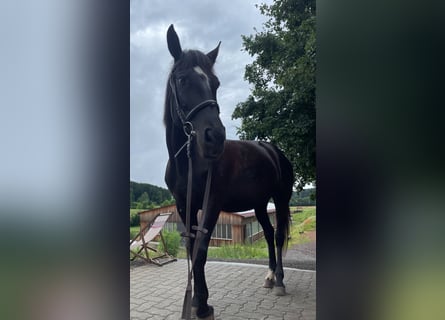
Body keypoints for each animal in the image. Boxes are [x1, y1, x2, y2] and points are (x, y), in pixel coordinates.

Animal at [165, 25, 294, 320]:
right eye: (182, 80)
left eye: (216, 83)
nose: (215, 137)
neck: (190, 163)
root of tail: (274, 151)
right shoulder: (184, 205)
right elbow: (191, 248)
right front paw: (196, 301)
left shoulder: (212, 203)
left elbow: (201, 250)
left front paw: (202, 305)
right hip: (259, 204)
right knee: (268, 233)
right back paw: (270, 276)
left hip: (281, 199)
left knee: (278, 235)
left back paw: (280, 281)